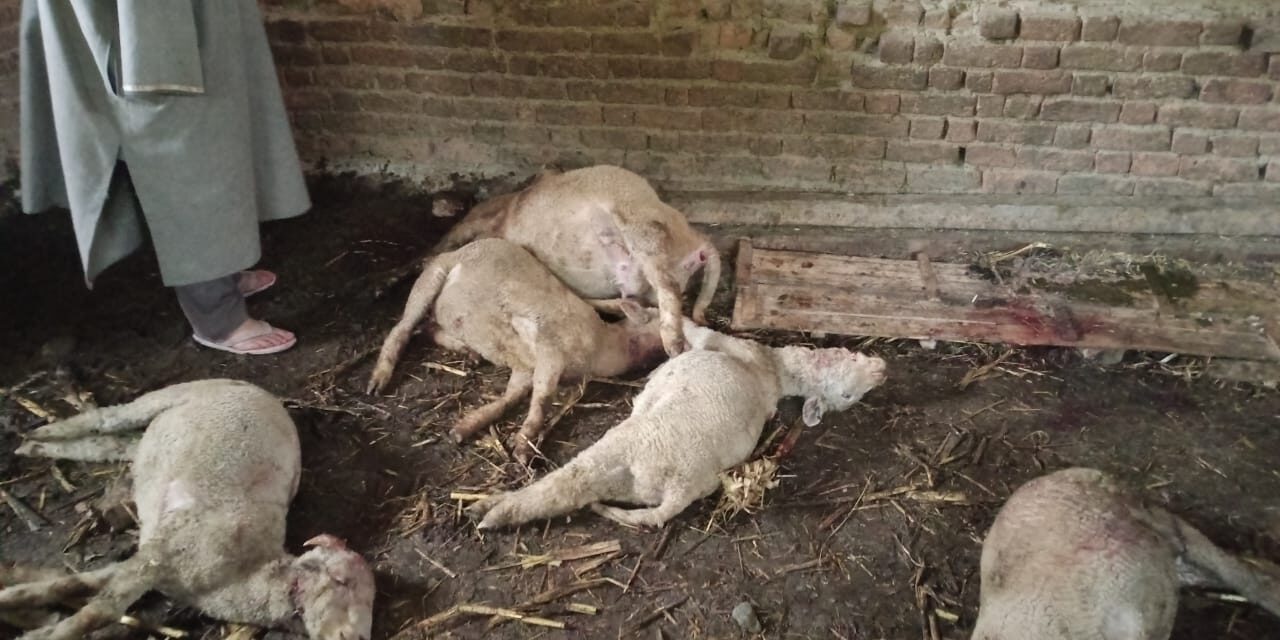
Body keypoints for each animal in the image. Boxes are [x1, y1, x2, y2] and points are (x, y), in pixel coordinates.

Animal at [0, 379, 375, 640]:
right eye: (341, 582)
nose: (354, 637)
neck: (241, 577)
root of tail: (255, 388)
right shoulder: (159, 556)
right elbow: (98, 611)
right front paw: (40, 631)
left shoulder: (151, 563)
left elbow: (73, 584)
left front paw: (14, 599)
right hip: (167, 395)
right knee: (106, 417)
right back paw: (44, 431)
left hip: (151, 442)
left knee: (110, 444)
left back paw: (33, 446)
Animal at [367, 237, 666, 462]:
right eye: (663, 320)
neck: (605, 346)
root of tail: (461, 249)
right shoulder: (549, 350)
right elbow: (542, 398)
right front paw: (522, 450)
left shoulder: (526, 367)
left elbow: (511, 397)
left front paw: (462, 429)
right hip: (429, 280)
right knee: (402, 328)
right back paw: (377, 382)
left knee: (428, 327)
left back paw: (470, 354)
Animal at [467, 322, 887, 529]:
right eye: (850, 356)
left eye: (849, 396)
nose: (883, 369)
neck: (774, 371)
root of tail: (677, 492)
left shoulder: (727, 344)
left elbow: (696, 330)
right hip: (634, 480)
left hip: (636, 451)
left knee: (570, 481)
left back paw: (491, 511)